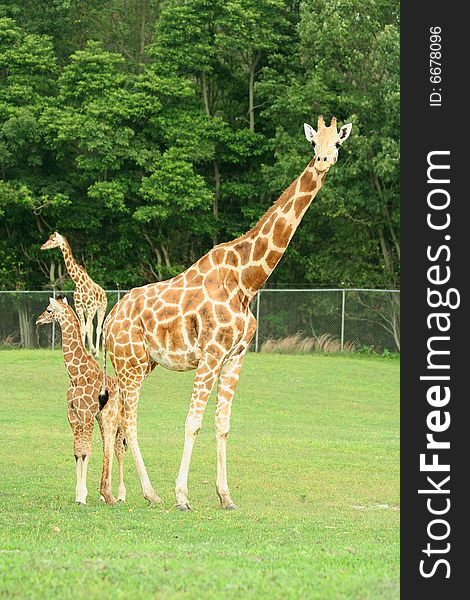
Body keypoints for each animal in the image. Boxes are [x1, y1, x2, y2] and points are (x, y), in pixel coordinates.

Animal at [35, 298, 126, 504]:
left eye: (49, 309)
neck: (75, 375)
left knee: (119, 450)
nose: (38, 320)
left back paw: (120, 495)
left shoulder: (86, 414)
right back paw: (103, 496)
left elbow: (86, 451)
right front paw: (79, 494)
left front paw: (82, 497)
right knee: (107, 447)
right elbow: (77, 452)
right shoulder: (73, 415)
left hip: (119, 422)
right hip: (102, 420)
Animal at [100, 117, 352, 510]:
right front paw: (182, 497)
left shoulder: (236, 356)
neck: (249, 281)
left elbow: (223, 425)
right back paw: (149, 493)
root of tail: (110, 318)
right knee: (127, 419)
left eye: (337, 143)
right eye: (314, 143)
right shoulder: (211, 353)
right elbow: (193, 422)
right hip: (130, 363)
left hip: (140, 362)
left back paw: (114, 493)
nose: (324, 161)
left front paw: (226, 497)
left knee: (113, 415)